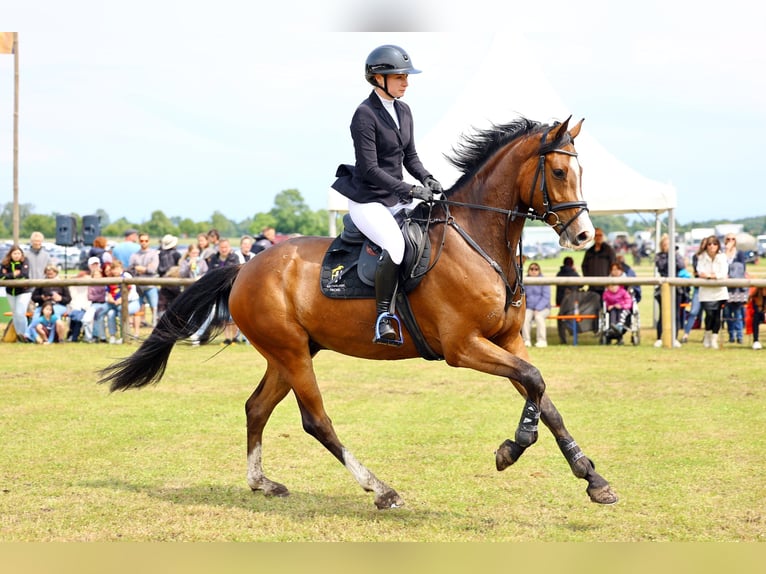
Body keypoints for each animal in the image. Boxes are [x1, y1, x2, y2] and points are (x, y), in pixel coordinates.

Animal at [99, 116, 618, 509]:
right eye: (558, 172)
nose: (582, 236)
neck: (479, 240)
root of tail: (245, 266)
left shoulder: (506, 341)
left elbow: (543, 396)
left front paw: (592, 478)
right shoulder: (463, 347)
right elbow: (534, 382)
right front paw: (513, 448)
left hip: (288, 353)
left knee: (256, 407)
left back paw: (261, 482)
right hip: (292, 353)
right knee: (316, 421)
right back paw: (381, 489)